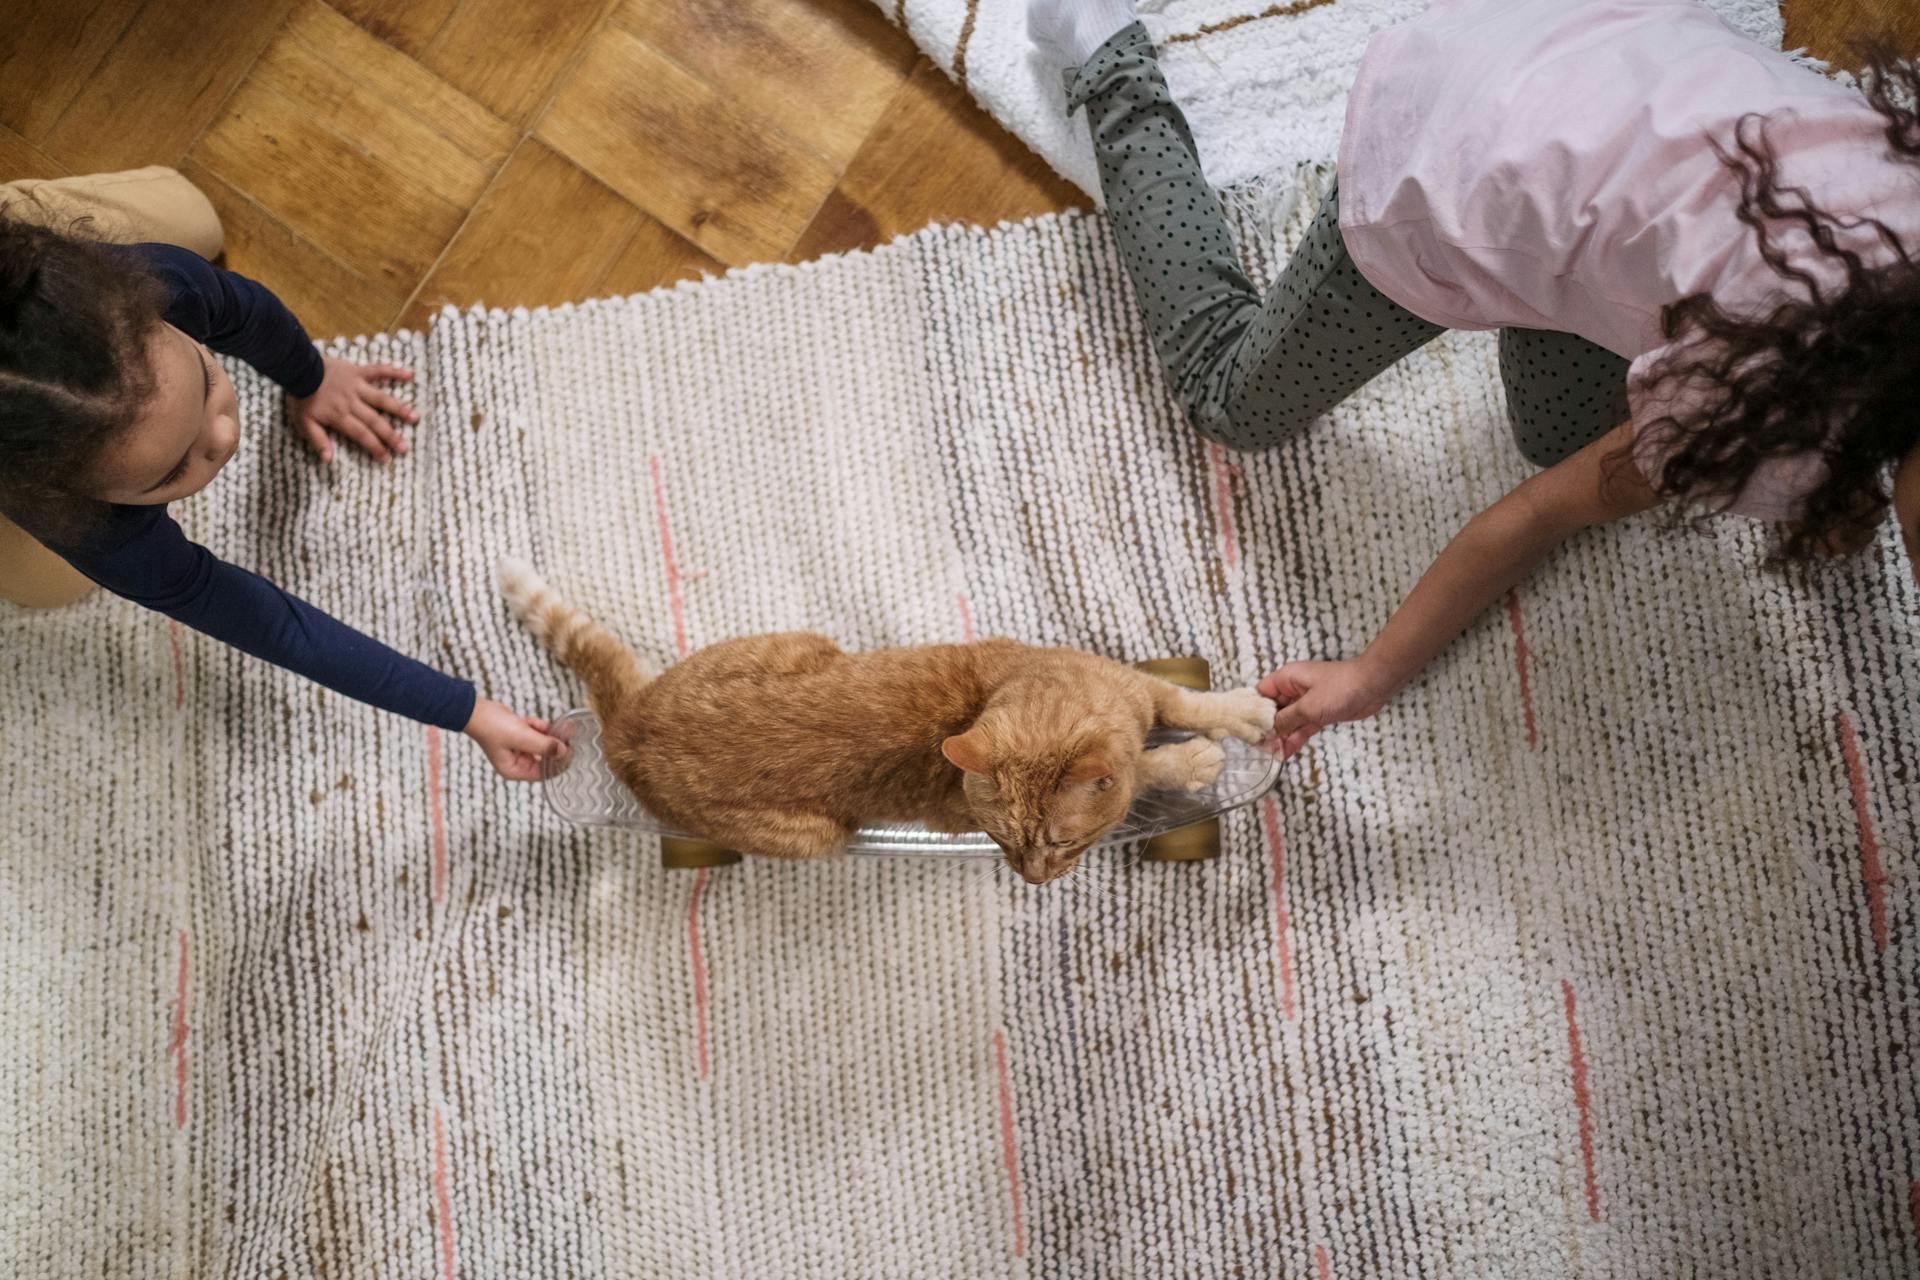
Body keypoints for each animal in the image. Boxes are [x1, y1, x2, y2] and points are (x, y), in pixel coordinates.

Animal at [499, 560, 1274, 882]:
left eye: (1056, 842)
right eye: (1001, 840)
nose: (1030, 880)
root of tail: (631, 726)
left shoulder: (1135, 685)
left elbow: (1183, 703)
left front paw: (1238, 713)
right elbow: (1147, 766)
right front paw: (1192, 760)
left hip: (801, 640)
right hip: (817, 836)